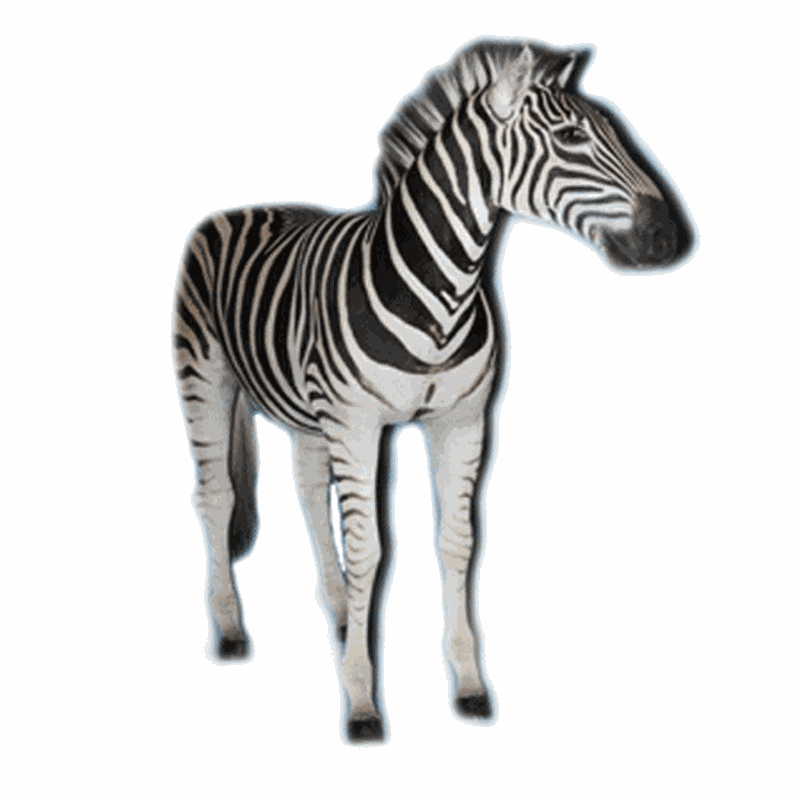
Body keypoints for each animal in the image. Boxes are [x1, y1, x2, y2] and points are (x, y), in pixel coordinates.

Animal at [174, 38, 691, 743]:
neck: (439, 295)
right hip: (205, 374)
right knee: (217, 496)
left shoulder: (461, 421)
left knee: (307, 493)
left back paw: (342, 614)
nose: (669, 238)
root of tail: (242, 208)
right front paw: (361, 698)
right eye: (570, 136)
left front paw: (468, 683)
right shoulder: (359, 424)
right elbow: (368, 549)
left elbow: (458, 542)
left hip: (308, 414)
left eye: (614, 130)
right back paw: (230, 627)